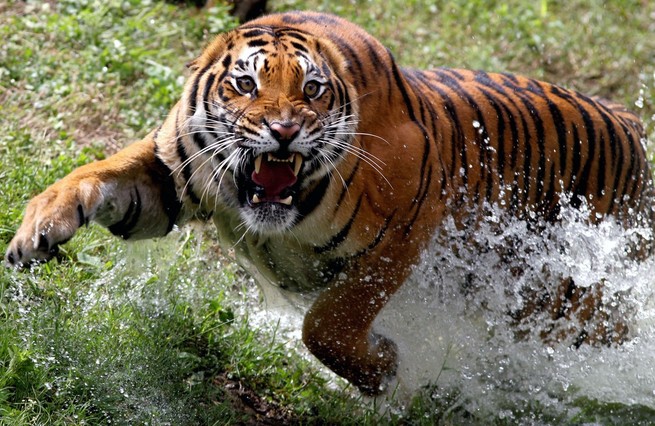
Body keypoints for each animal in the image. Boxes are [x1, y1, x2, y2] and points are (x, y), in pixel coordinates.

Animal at [5, 11, 654, 395]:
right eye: (246, 84)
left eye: (312, 90)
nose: (285, 131)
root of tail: (628, 121)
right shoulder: (167, 177)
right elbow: (93, 175)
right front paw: (35, 232)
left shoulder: (407, 228)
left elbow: (328, 322)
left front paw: (384, 366)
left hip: (573, 305)